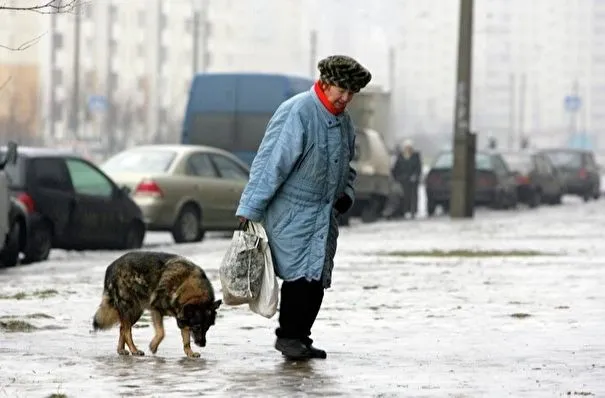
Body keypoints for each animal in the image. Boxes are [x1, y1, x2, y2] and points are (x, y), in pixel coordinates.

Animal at [95, 252, 223, 358]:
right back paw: (134, 350)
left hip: (136, 312)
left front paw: (189, 353)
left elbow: (186, 340)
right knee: (127, 330)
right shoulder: (156, 310)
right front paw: (153, 346)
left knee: (123, 328)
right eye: (197, 327)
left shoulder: (183, 318)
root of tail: (110, 267)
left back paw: (121, 350)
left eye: (208, 327)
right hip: (129, 308)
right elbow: (161, 333)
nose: (202, 344)